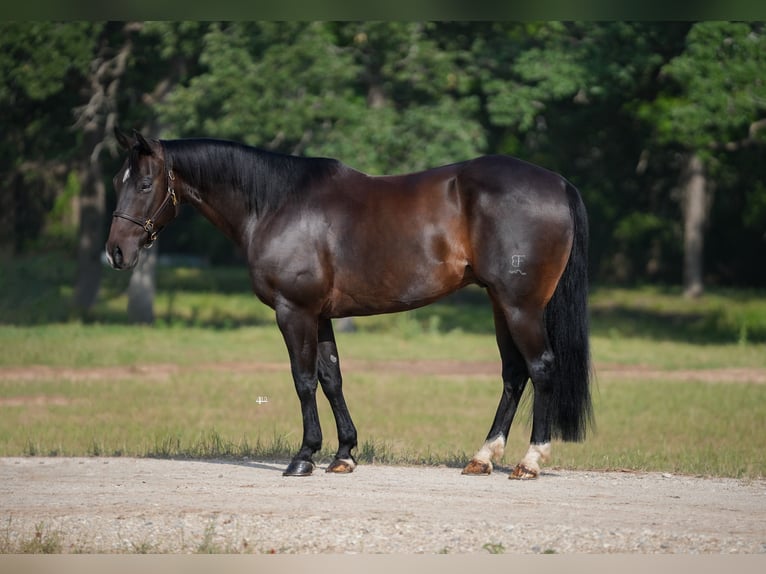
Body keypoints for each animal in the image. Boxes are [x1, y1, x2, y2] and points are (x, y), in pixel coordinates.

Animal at [105, 129, 592, 482]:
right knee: (514, 374)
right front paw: (344, 454)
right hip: (499, 304)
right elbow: (331, 379)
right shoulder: (319, 315)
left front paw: (303, 456)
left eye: (145, 183)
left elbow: (303, 381)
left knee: (541, 368)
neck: (276, 204)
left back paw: (529, 461)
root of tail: (559, 183)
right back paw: (484, 457)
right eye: (116, 182)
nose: (115, 253)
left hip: (520, 305)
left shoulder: (294, 311)